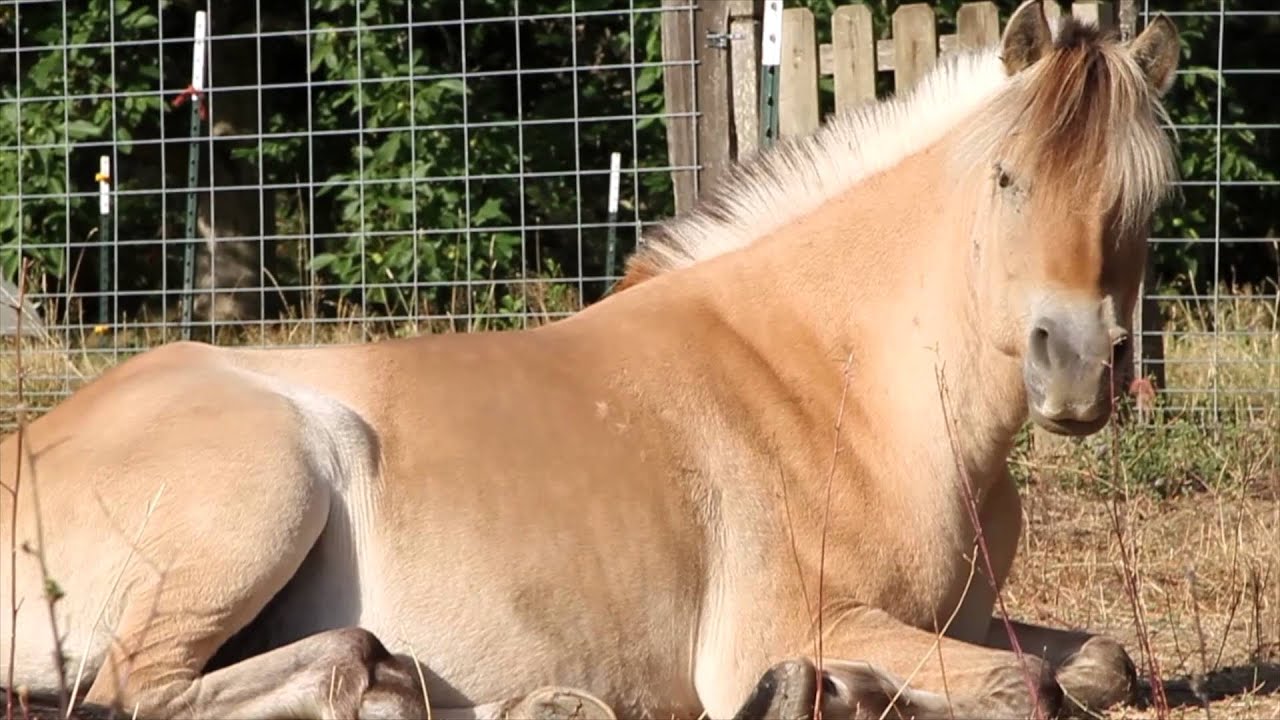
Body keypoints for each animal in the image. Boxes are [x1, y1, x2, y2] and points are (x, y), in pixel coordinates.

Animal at [0, 2, 1181, 718]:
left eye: (1148, 194)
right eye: (1004, 178)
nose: (1077, 370)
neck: (846, 381)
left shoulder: (963, 621)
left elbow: (1104, 663)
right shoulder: (796, 623)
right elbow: (1024, 688)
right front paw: (816, 692)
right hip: (270, 483)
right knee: (134, 690)